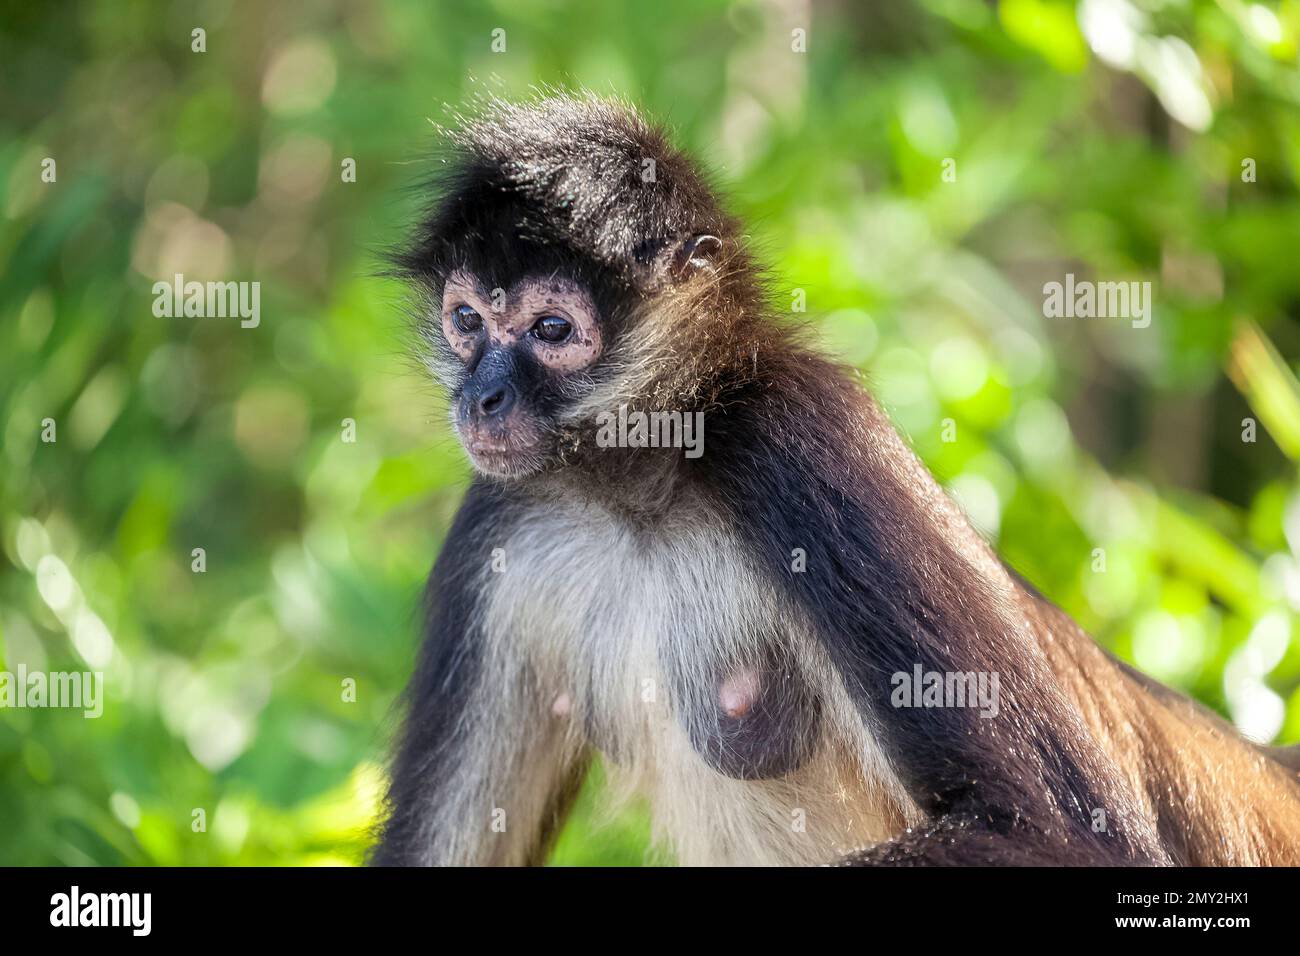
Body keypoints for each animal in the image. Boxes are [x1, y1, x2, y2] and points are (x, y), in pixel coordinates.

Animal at [371, 95, 1300, 868]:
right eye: (467, 321)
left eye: (552, 329)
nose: (482, 400)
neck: (640, 495)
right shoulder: (504, 509)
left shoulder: (797, 437)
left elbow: (1055, 831)